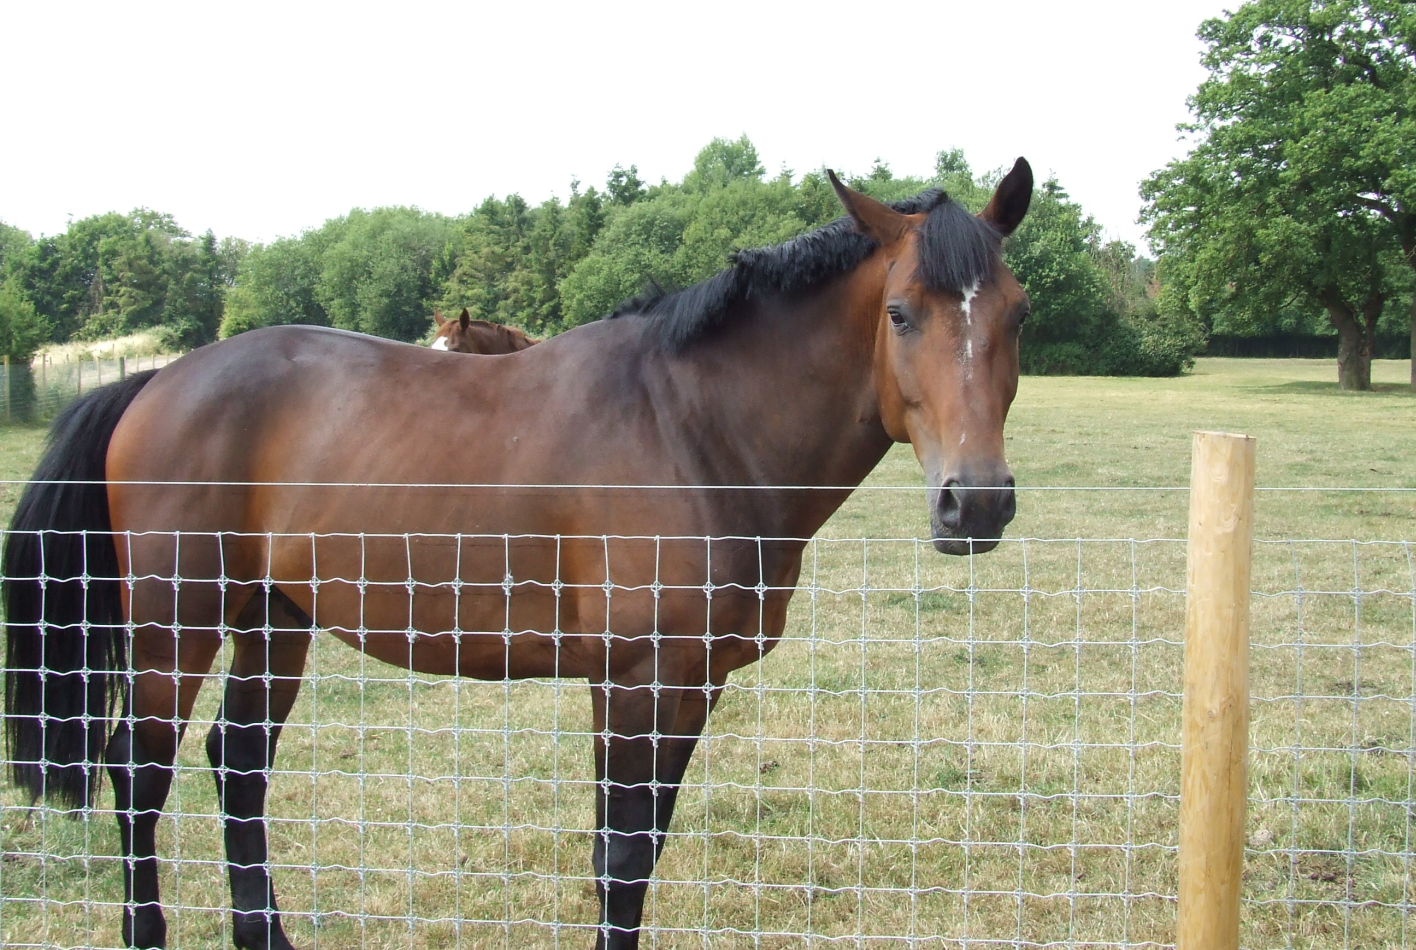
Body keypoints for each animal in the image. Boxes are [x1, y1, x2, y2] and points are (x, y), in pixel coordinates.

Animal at [5, 159, 1036, 945]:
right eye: (900, 313)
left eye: (1018, 313)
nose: (975, 502)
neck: (691, 427)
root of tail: (157, 381)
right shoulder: (634, 681)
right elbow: (621, 858)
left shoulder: (692, 685)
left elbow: (639, 852)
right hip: (174, 627)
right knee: (139, 775)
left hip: (273, 622)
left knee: (239, 765)